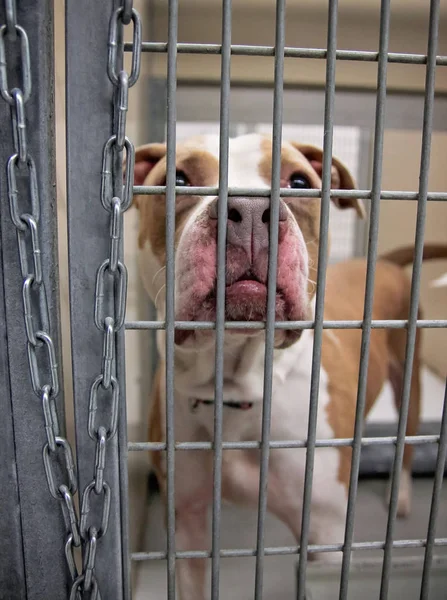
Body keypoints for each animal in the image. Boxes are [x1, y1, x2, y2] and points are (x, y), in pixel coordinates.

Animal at [132, 134, 447, 596]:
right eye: (178, 178)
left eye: (299, 182)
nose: (247, 211)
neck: (237, 389)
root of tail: (384, 262)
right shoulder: (186, 524)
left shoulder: (325, 535)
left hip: (408, 378)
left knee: (407, 442)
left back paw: (401, 497)